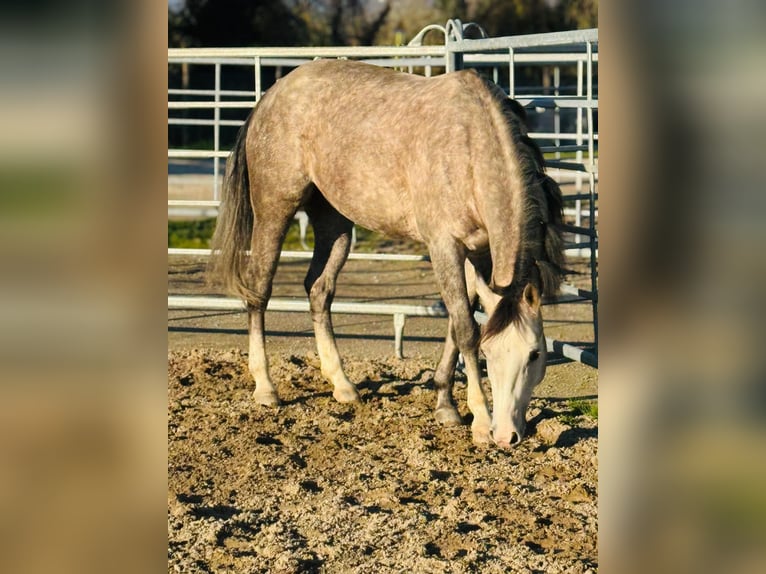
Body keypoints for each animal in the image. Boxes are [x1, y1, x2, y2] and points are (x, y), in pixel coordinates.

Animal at [209, 59, 565, 447]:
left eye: (535, 353)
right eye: (488, 353)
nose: (506, 436)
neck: (470, 149)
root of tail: (270, 96)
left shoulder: (479, 252)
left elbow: (458, 322)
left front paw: (446, 405)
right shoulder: (444, 246)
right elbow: (466, 328)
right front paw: (481, 421)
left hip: (335, 222)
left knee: (319, 290)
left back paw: (342, 384)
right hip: (275, 209)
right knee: (259, 289)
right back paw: (265, 388)